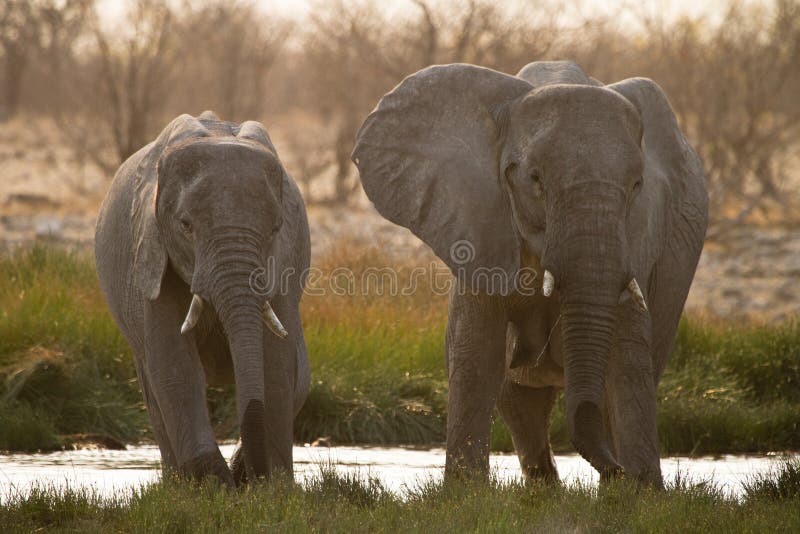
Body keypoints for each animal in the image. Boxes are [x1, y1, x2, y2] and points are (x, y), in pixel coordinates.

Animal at [95, 111, 310, 487]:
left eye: (276, 228)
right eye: (185, 225)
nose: (249, 480)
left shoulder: (282, 263)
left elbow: (277, 364)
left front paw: (273, 487)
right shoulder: (151, 256)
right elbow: (174, 366)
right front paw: (214, 487)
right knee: (153, 389)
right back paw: (177, 483)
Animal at [352, 61, 708, 485]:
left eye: (637, 185)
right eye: (535, 179)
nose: (619, 471)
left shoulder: (640, 233)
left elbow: (627, 357)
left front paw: (642, 492)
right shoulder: (477, 222)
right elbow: (477, 353)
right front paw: (464, 492)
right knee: (518, 399)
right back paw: (545, 488)